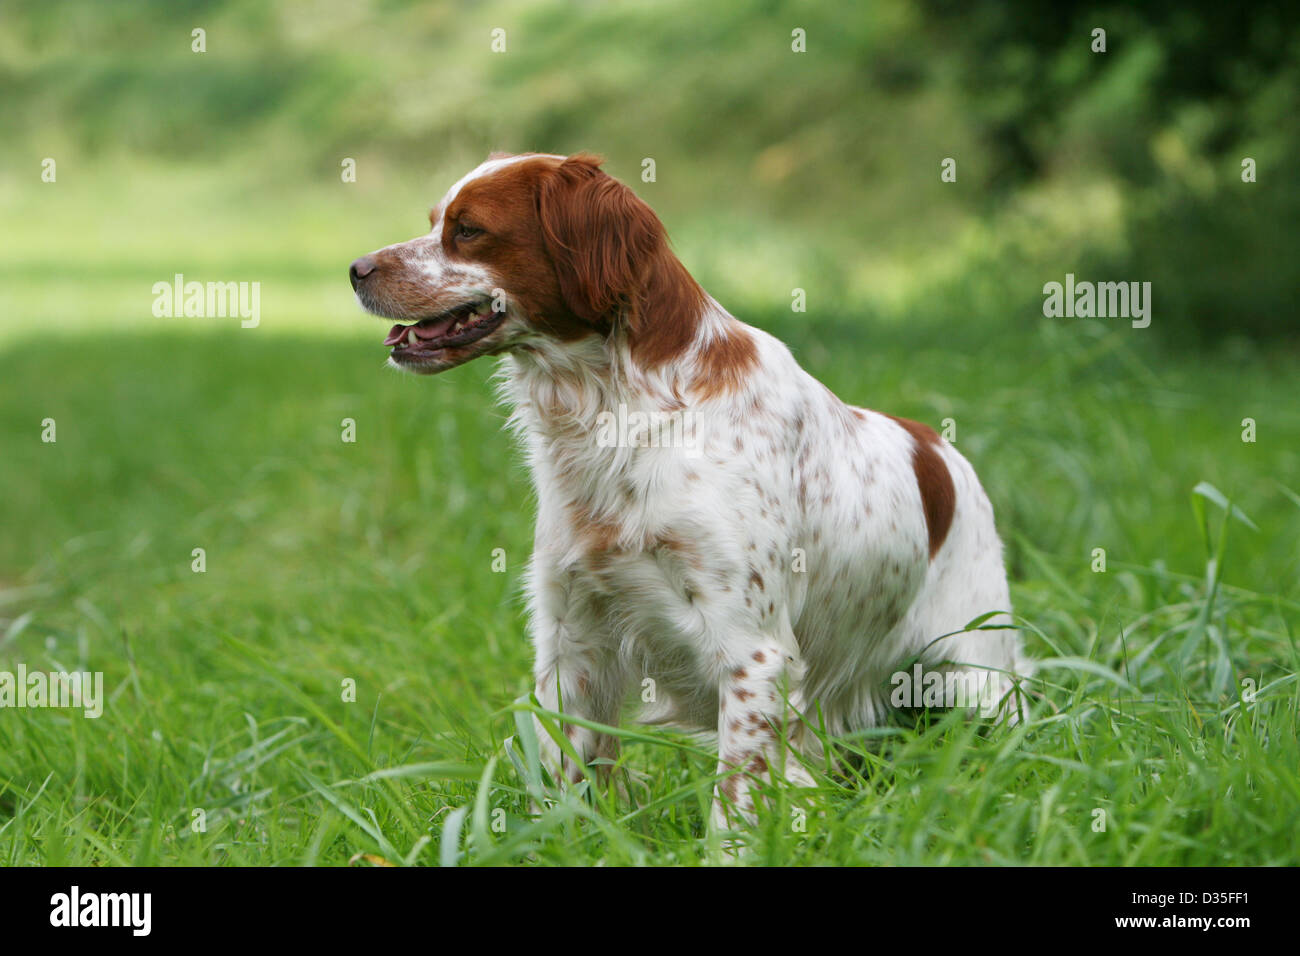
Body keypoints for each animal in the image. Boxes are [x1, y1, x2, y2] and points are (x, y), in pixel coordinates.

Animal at [351, 153, 1029, 827]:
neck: (620, 412)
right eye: (435, 221)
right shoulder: (572, 636)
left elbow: (734, 800)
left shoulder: (753, 652)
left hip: (976, 674)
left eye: (468, 230)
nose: (356, 269)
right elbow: (565, 773)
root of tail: (940, 448)